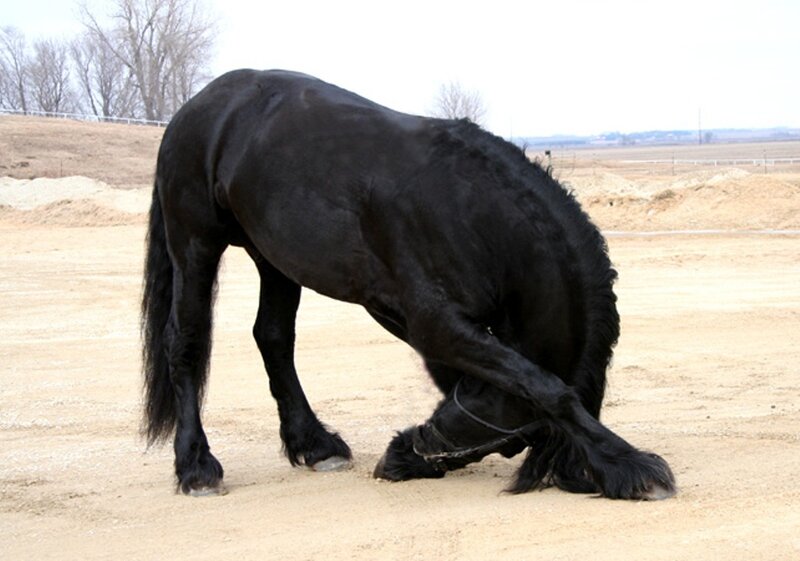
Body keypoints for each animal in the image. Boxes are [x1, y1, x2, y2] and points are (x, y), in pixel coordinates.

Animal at [142, 69, 676, 500]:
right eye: (510, 443)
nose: (394, 462)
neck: (469, 210)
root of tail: (198, 106)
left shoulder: (420, 323)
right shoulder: (434, 324)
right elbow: (542, 385)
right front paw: (629, 465)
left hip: (274, 258)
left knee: (272, 337)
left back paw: (315, 445)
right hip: (195, 242)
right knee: (185, 342)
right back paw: (196, 467)